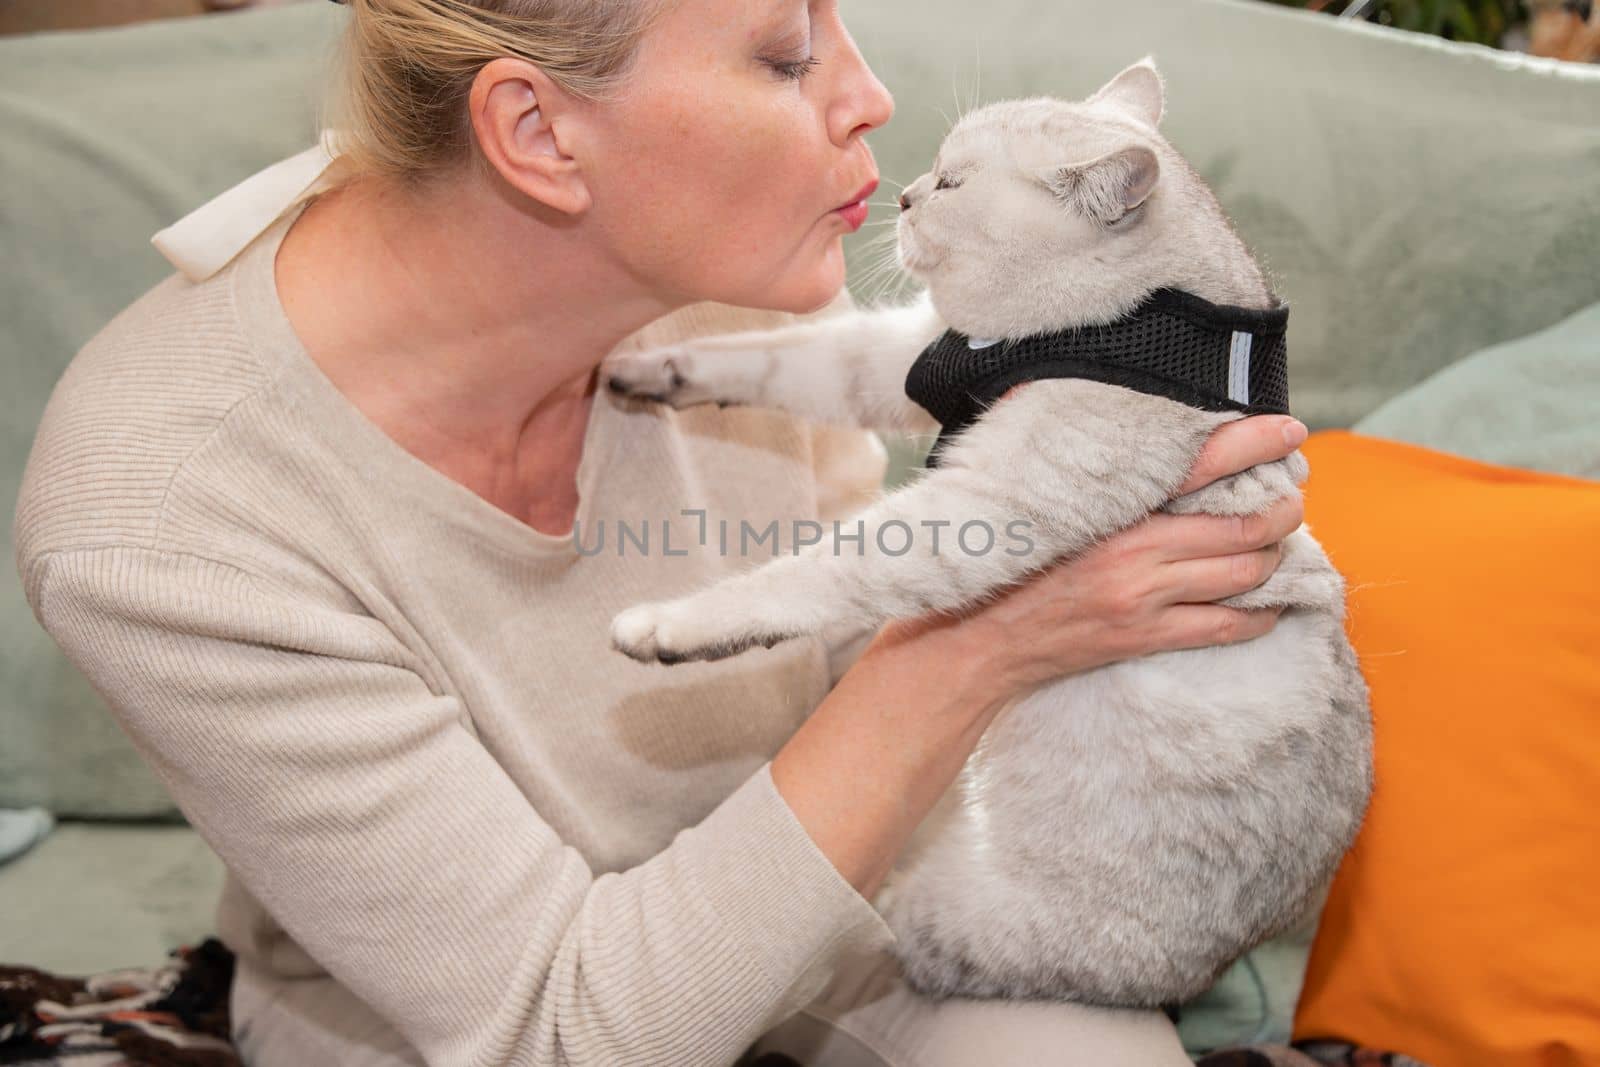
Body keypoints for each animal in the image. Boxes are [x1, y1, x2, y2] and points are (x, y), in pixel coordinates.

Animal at [601, 58, 1376, 1011]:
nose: (901, 193)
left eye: (953, 182)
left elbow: (824, 569)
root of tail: (1214, 969)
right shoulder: (912, 357)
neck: (1138, 328)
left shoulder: (985, 503)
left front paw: (672, 627)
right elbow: (790, 357)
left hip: (948, 916)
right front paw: (656, 367)